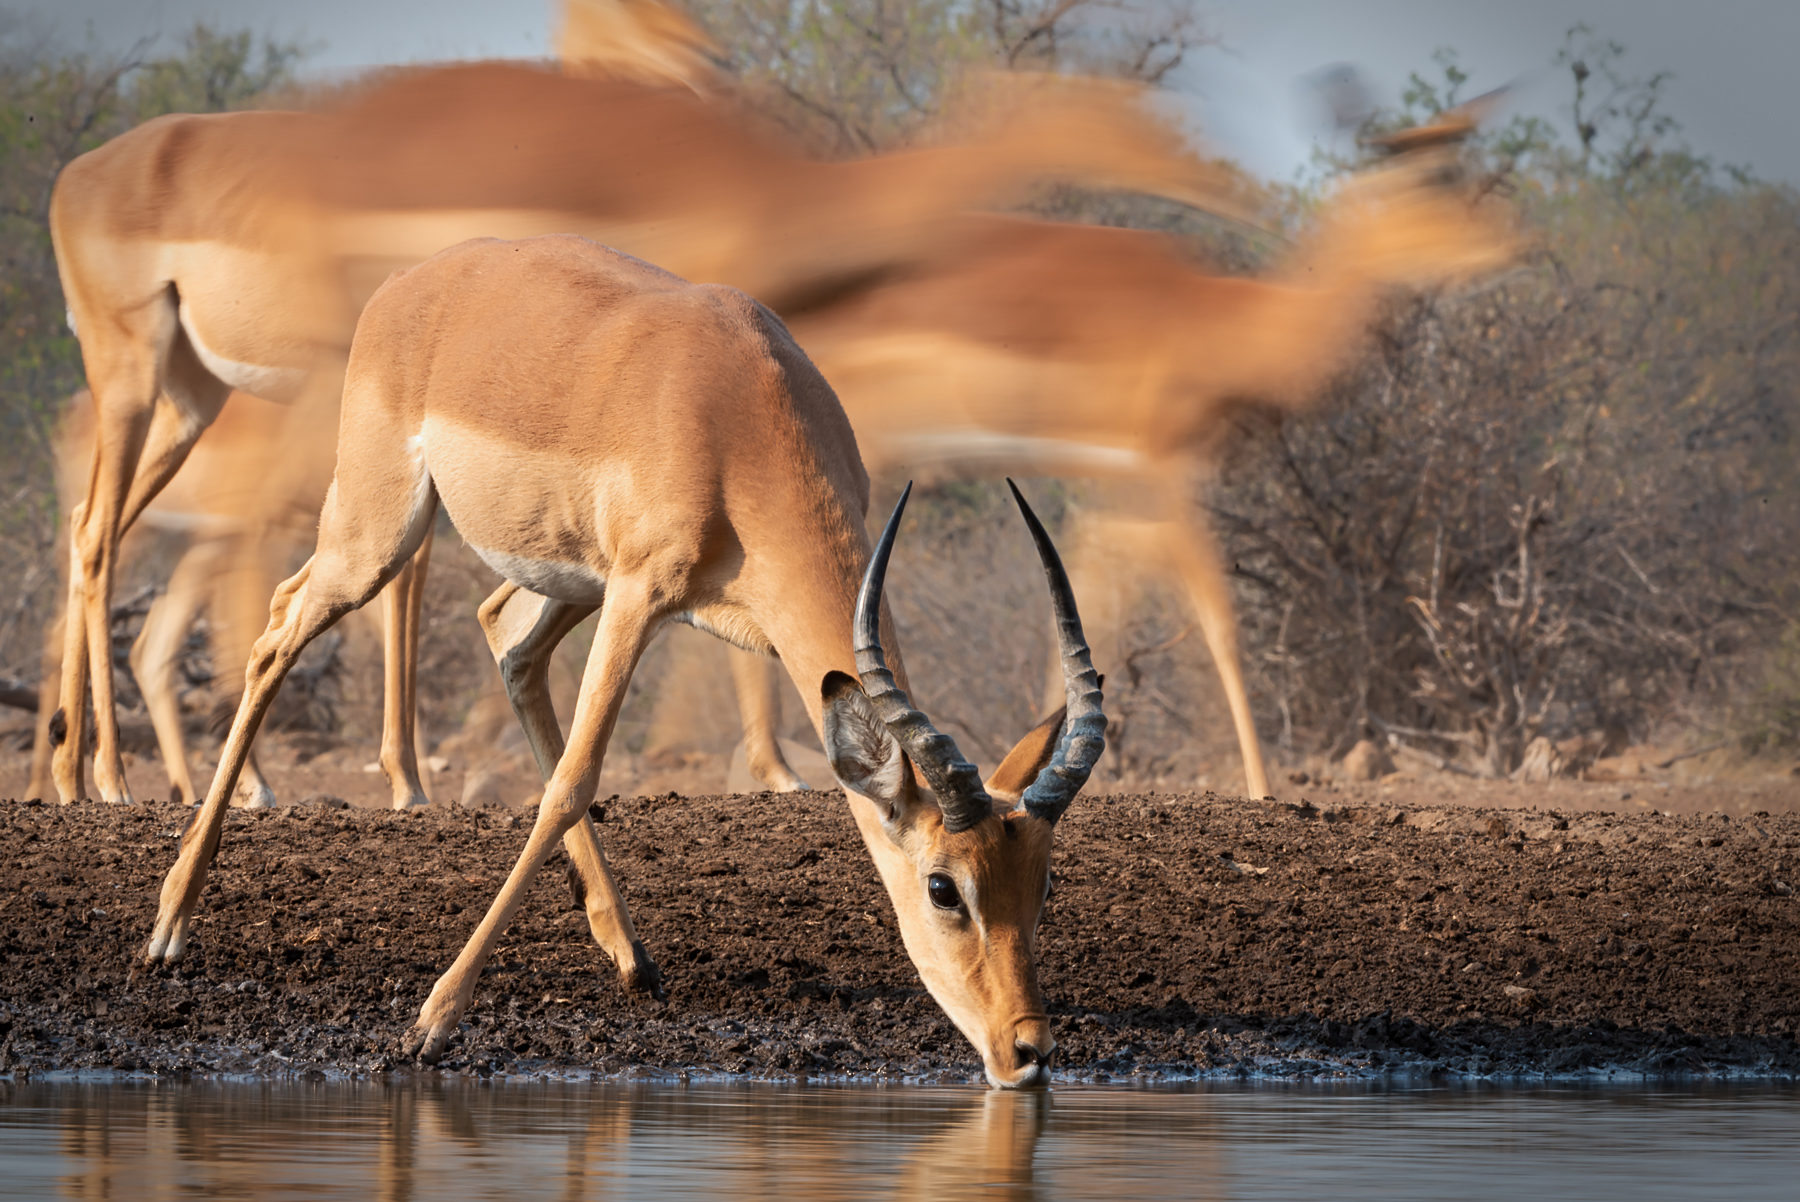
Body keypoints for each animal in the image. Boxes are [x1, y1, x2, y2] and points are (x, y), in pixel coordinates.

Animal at [47, 51, 1229, 808]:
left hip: (199, 395)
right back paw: (120, 778)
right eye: (1135, 112)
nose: (1217, 184)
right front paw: (774, 766)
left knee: (112, 534)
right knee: (147, 540)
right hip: (185, 379)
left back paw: (105, 769)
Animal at [143, 235, 1106, 1089]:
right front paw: (430, 1022)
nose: (1027, 1050)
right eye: (945, 887)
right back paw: (168, 928)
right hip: (382, 538)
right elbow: (574, 780)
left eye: (1045, 883)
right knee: (278, 628)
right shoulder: (642, 594)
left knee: (503, 635)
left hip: (565, 579)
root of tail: (411, 281)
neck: (736, 416)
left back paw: (630, 955)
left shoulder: (669, 604)